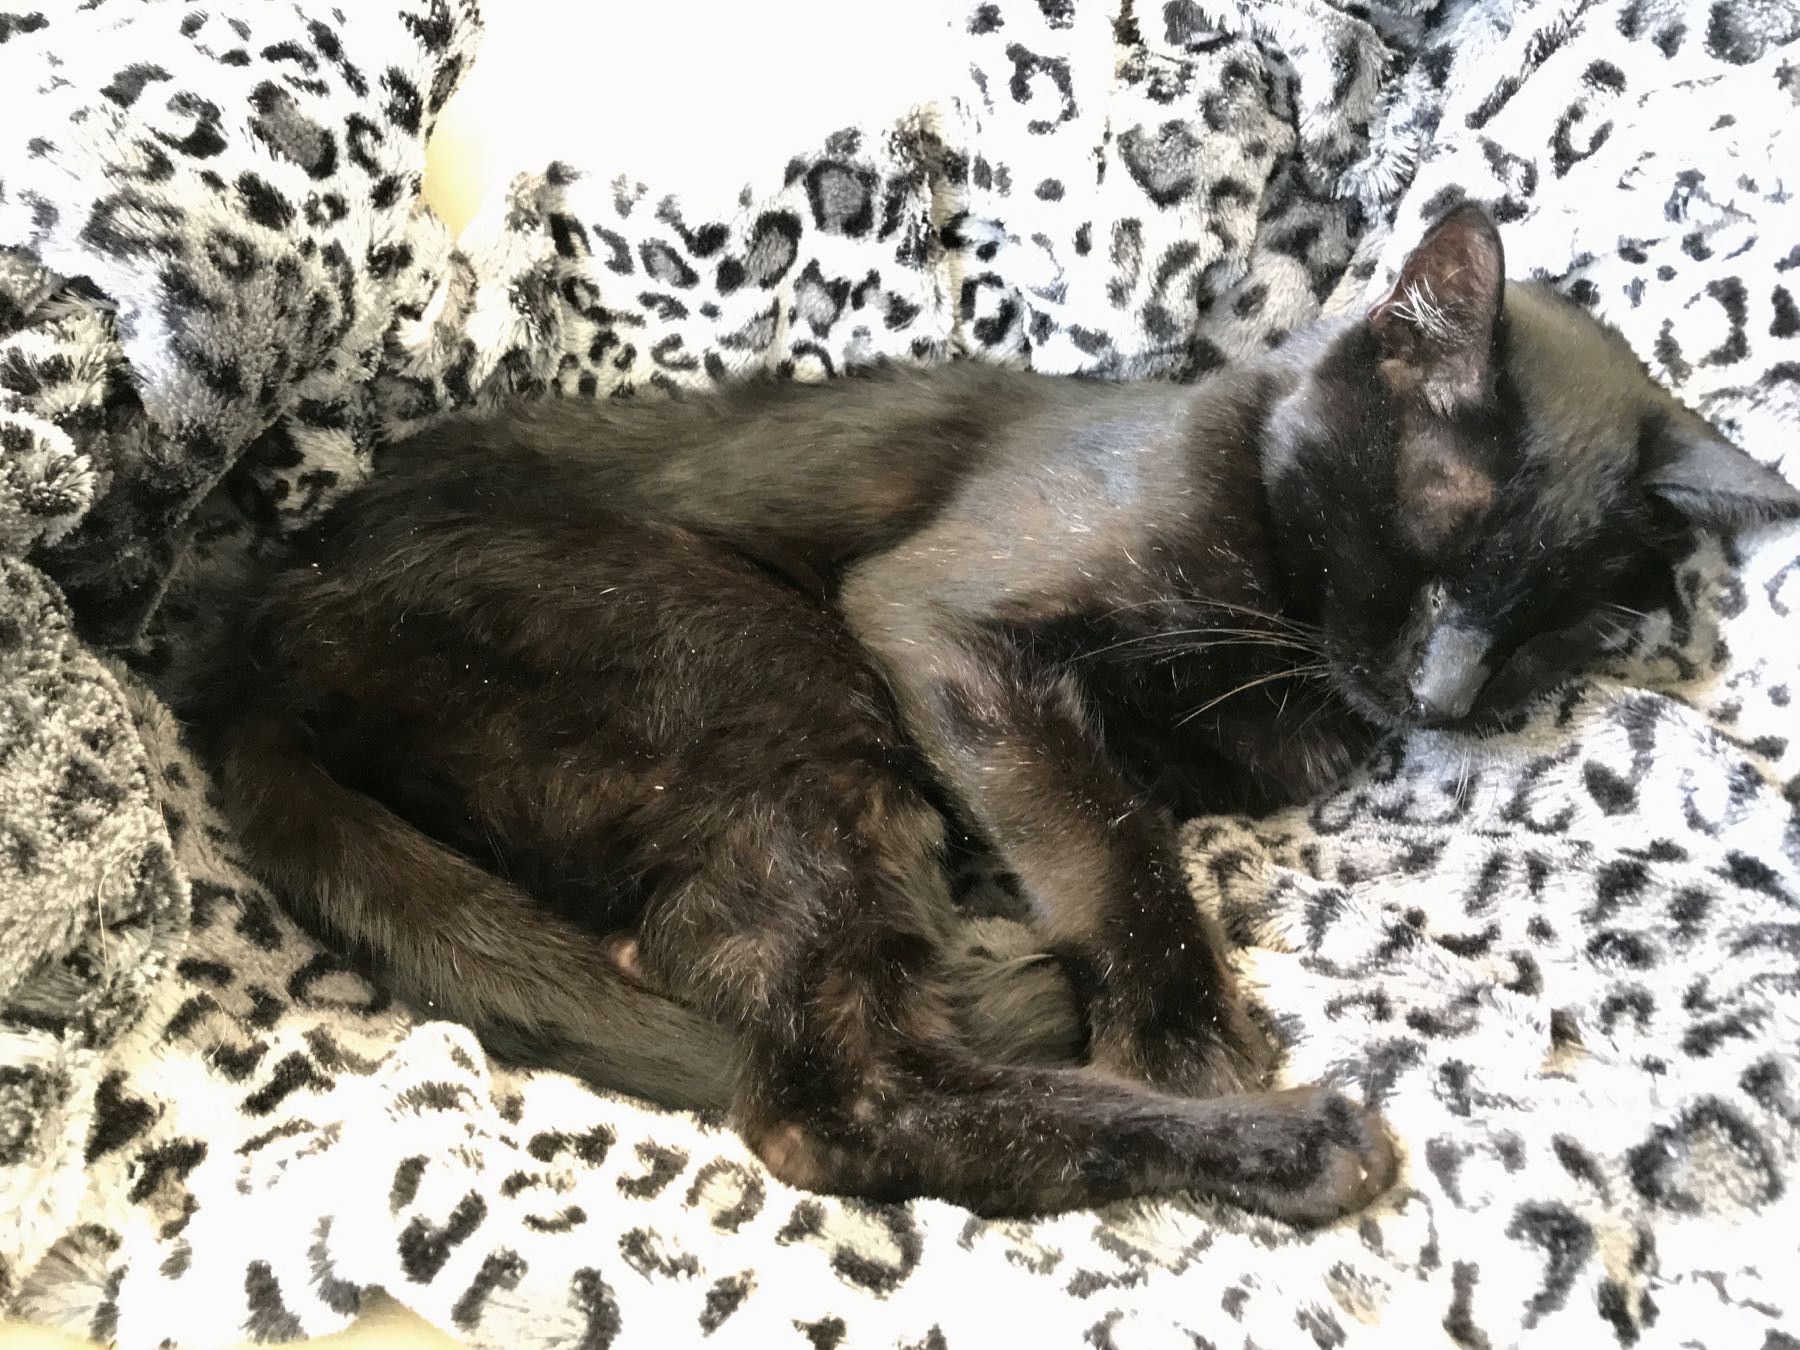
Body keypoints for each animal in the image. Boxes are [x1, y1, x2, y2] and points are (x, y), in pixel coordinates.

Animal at [193, 203, 1800, 1224]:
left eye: (1557, 624)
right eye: (1436, 544)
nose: (1448, 692)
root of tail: (258, 631)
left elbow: (1129, 801)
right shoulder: (945, 622)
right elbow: (1108, 832)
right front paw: (1180, 1040)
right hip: (779, 674)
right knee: (836, 1100)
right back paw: (1278, 1143)